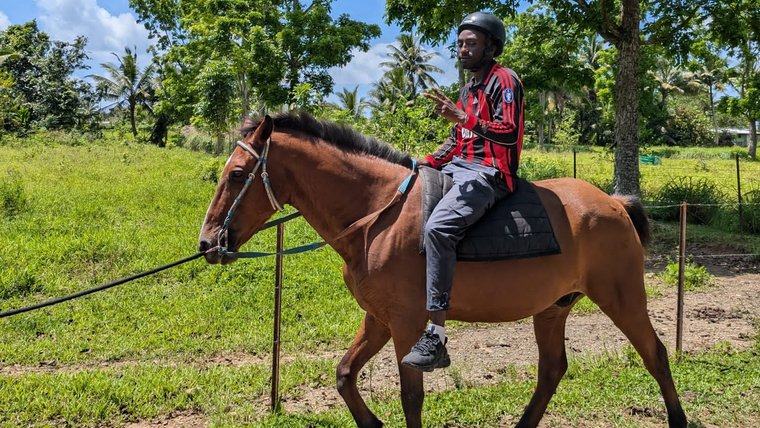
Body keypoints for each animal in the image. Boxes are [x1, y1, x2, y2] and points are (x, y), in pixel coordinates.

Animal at [198, 111, 687, 428]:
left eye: (237, 174)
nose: (207, 243)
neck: (379, 214)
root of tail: (614, 203)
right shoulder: (379, 319)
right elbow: (344, 375)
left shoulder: (407, 323)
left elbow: (411, 398)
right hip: (553, 308)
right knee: (552, 369)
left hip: (622, 298)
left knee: (656, 354)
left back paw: (678, 418)